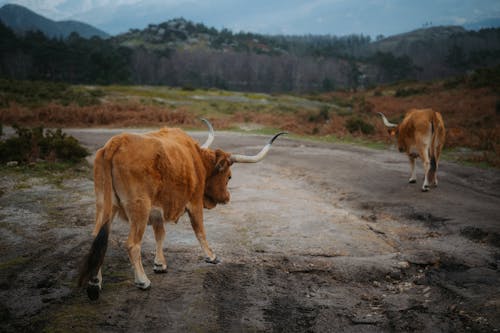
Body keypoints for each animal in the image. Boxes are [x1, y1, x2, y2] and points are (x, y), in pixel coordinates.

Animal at [78, 120, 286, 300]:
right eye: (229, 177)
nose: (227, 197)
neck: (196, 159)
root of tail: (117, 142)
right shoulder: (194, 203)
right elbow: (200, 231)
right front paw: (211, 256)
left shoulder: (158, 210)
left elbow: (160, 234)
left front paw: (160, 264)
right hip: (139, 208)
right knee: (132, 244)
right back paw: (142, 281)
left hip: (104, 206)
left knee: (97, 239)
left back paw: (95, 283)